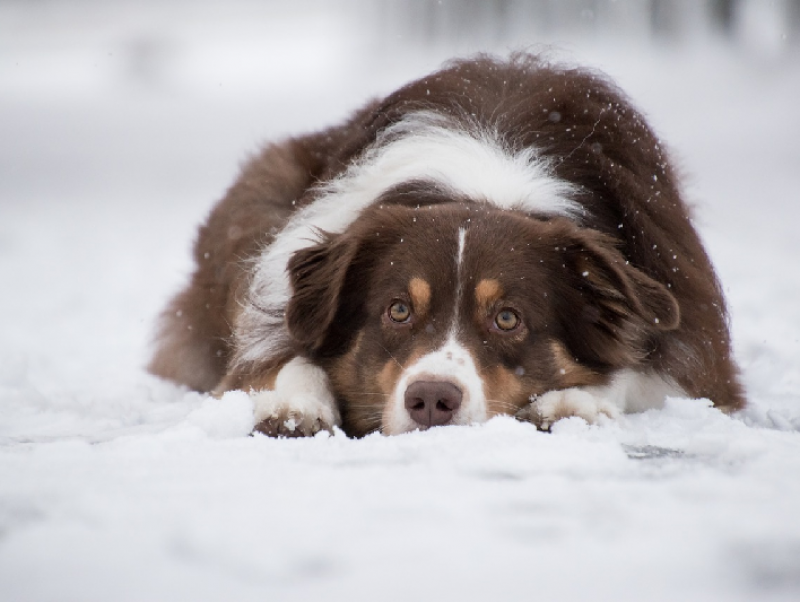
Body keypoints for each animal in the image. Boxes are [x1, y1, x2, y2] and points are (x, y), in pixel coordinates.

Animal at [150, 54, 744, 434]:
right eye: (397, 310)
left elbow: (641, 370)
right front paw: (293, 403)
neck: (486, 184)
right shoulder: (284, 294)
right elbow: (282, 357)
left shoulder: (695, 340)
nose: (432, 400)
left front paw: (573, 400)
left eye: (508, 318)